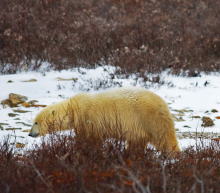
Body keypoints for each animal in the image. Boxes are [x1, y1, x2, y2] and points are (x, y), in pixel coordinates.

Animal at [28, 87, 180, 152]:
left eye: (36, 122)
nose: (30, 134)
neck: (74, 109)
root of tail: (163, 104)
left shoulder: (89, 119)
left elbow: (90, 139)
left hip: (150, 119)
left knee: (164, 139)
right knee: (137, 142)